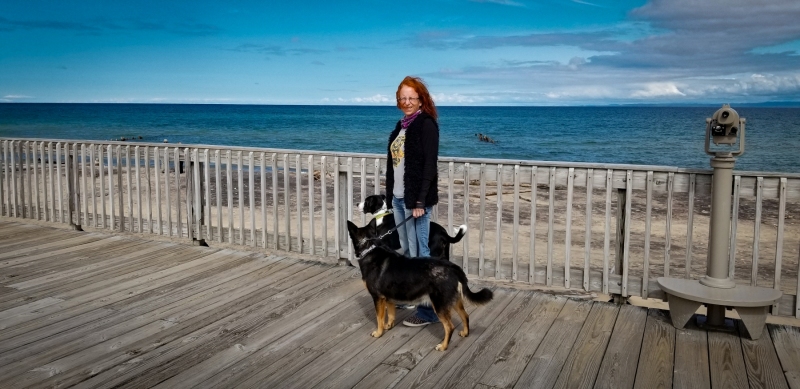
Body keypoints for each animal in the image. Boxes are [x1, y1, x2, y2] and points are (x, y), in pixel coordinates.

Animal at [346, 220, 494, 350]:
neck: (369, 247)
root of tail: (453, 267)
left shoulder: (378, 297)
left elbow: (379, 317)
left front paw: (378, 332)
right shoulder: (388, 297)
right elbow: (391, 313)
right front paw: (389, 326)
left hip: (439, 305)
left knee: (449, 327)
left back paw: (443, 346)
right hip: (454, 300)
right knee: (465, 316)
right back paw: (465, 333)